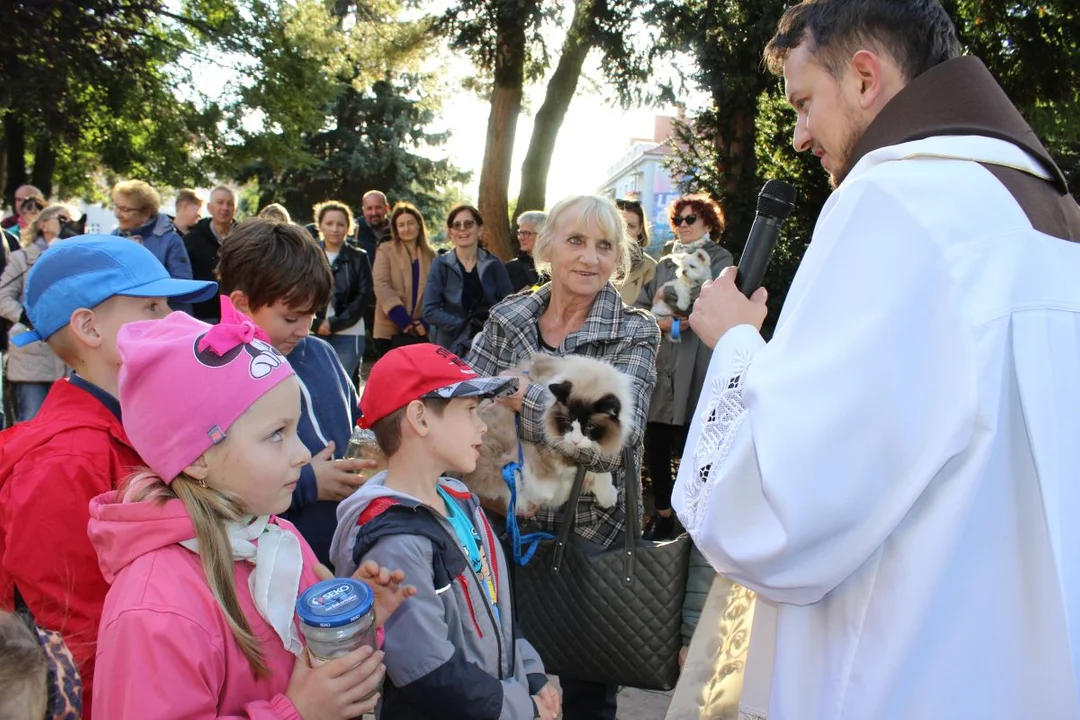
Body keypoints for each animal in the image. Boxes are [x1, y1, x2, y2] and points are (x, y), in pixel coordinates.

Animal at [462, 354, 630, 511]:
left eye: (589, 427)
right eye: (568, 423)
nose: (575, 441)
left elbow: (601, 469)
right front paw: (608, 497)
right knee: (542, 493)